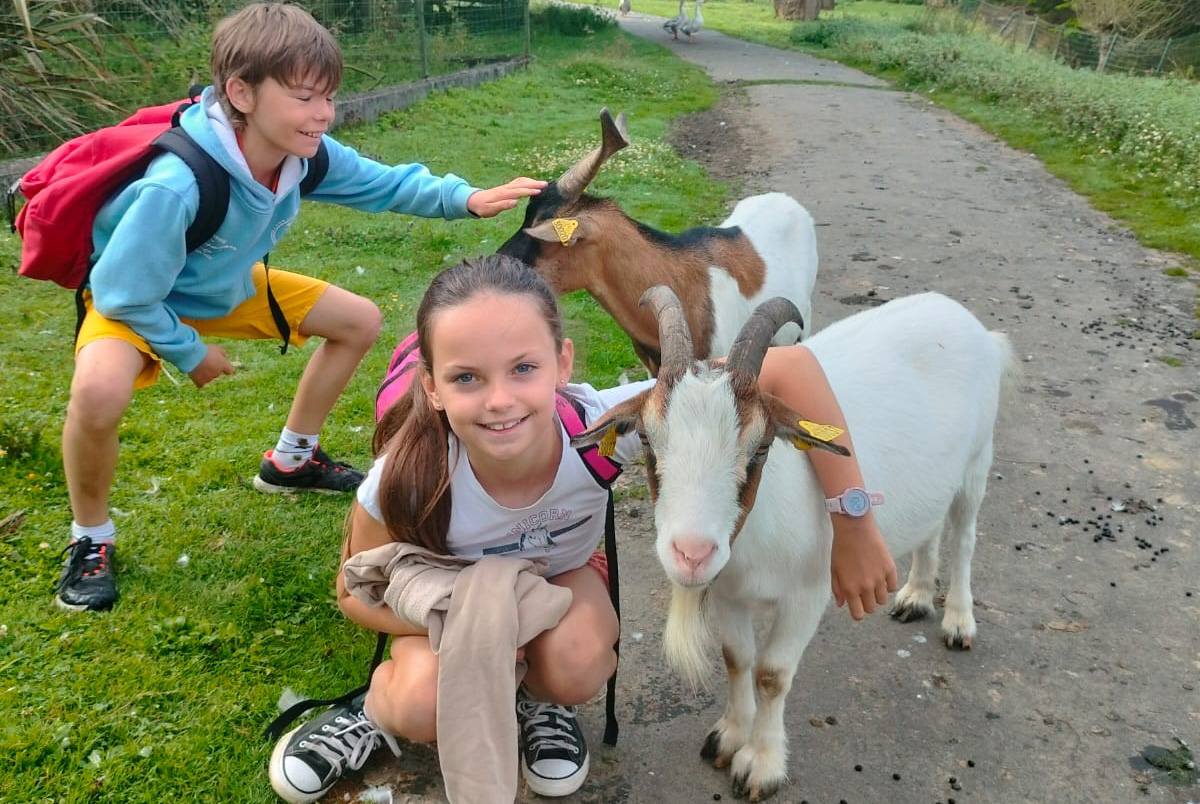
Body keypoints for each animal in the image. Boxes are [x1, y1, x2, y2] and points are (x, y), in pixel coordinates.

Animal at [568, 286, 1012, 801]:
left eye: (761, 447)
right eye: (645, 438)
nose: (692, 555)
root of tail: (964, 320)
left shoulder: (808, 593)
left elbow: (772, 675)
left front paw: (760, 765)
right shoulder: (729, 592)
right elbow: (737, 659)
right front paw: (729, 737)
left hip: (977, 461)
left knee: (964, 537)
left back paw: (959, 622)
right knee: (933, 528)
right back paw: (915, 596)